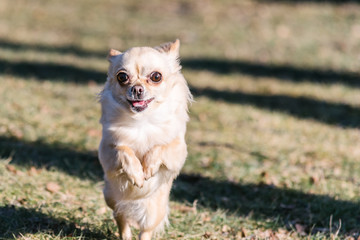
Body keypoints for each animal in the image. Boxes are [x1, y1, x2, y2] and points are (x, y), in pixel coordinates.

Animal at [97, 39, 193, 240]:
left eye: (156, 77)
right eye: (122, 77)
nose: (137, 88)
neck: (142, 120)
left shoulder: (178, 151)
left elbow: (160, 147)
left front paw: (148, 168)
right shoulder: (108, 152)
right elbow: (123, 150)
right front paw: (137, 174)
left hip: (153, 213)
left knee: (145, 231)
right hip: (112, 198)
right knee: (122, 221)